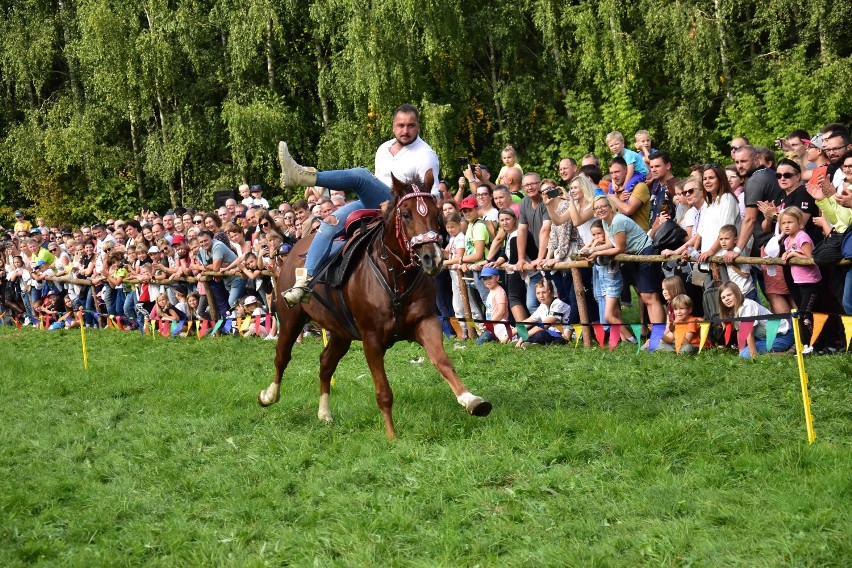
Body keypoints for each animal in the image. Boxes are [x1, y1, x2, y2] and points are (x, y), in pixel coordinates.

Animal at [256, 171, 490, 438]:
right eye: (406, 214)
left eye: (436, 213)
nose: (433, 257)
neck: (395, 274)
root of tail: (294, 249)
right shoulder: (372, 339)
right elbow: (384, 391)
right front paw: (392, 436)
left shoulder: (426, 323)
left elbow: (443, 362)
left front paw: (471, 400)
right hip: (291, 320)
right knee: (282, 356)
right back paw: (269, 395)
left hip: (341, 332)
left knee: (326, 363)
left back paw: (324, 413)